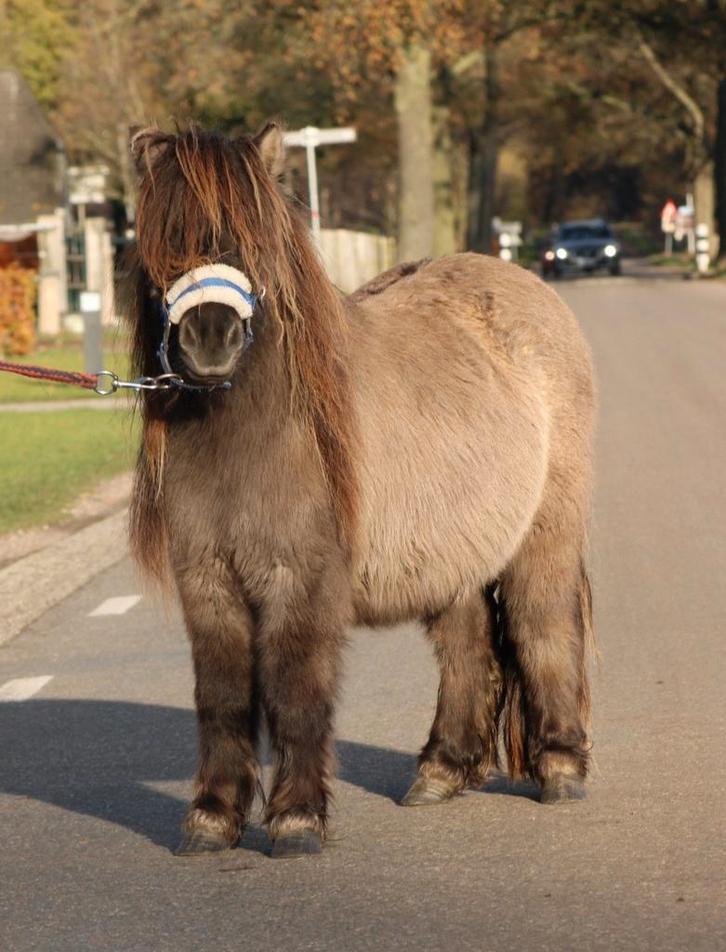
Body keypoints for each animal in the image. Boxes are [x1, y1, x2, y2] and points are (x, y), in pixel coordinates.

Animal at [124, 123, 595, 859]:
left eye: (256, 240)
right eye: (164, 239)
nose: (210, 340)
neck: (256, 435)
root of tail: (524, 286)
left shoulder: (301, 581)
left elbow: (296, 691)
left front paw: (296, 820)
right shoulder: (209, 582)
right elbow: (223, 697)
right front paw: (212, 819)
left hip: (544, 535)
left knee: (542, 626)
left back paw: (561, 768)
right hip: (454, 553)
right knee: (468, 646)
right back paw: (441, 771)